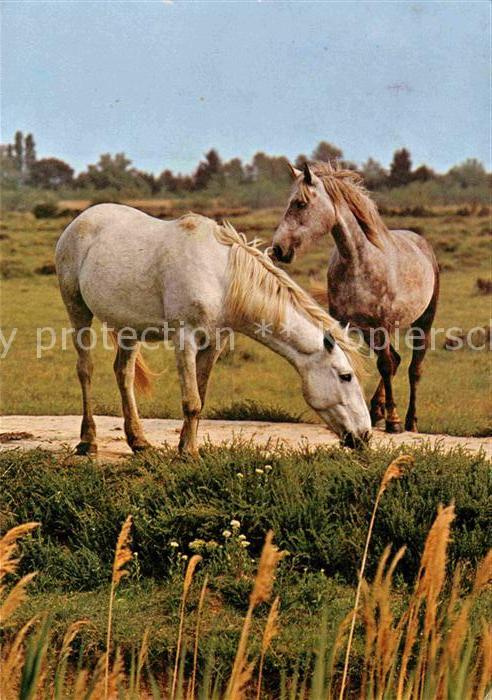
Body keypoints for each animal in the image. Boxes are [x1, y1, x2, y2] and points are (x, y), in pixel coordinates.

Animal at [55, 203, 371, 456]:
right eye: (346, 376)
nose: (365, 435)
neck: (221, 277)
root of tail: (82, 219)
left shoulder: (214, 343)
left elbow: (201, 397)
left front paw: (186, 449)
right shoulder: (185, 341)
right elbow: (191, 401)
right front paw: (189, 454)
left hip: (128, 329)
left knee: (124, 374)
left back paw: (139, 442)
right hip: (77, 309)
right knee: (85, 370)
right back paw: (88, 441)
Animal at [271, 162, 439, 434]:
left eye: (300, 203)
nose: (278, 249)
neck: (358, 261)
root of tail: (421, 242)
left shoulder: (383, 325)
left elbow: (385, 365)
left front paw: (393, 421)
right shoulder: (346, 325)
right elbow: (353, 362)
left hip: (422, 322)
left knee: (413, 368)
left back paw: (410, 421)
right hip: (369, 332)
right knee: (396, 359)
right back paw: (376, 410)